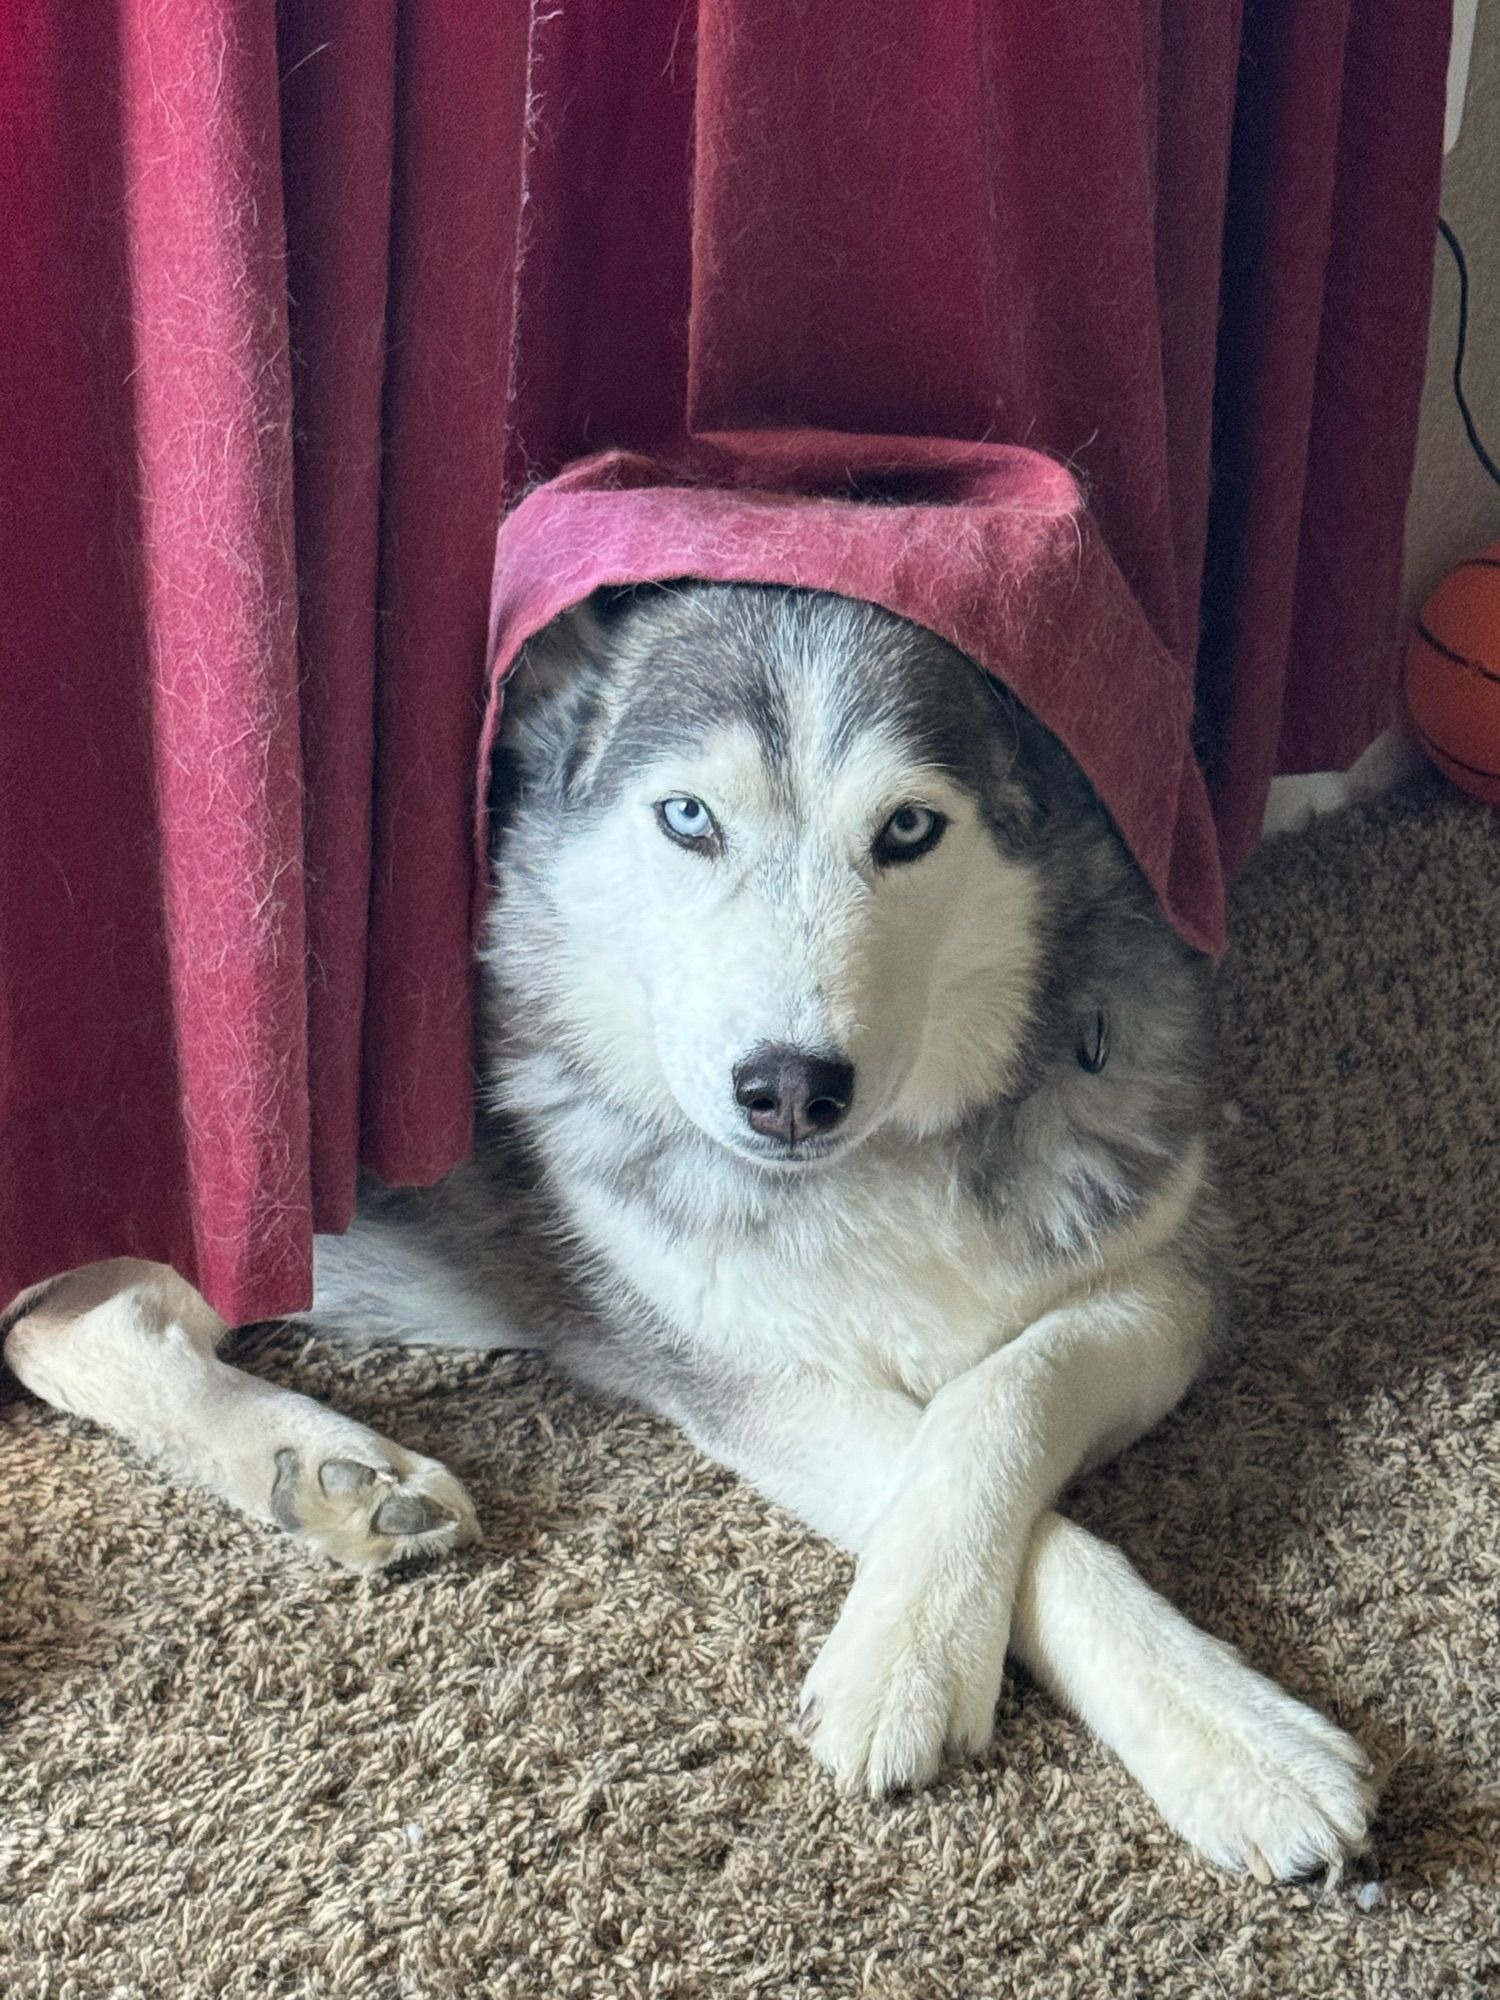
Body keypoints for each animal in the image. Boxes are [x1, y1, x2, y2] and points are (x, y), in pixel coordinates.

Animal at [8, 584, 1376, 1872]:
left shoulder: (1169, 1265)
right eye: (687, 818)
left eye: (909, 827)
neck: (874, 1166)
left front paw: (1207, 1722)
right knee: (60, 1326)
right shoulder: (729, 1361)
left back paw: (334, 1480)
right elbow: (1018, 1506)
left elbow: (1001, 1396)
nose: (790, 1087)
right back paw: (329, 1463)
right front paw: (969, 1671)